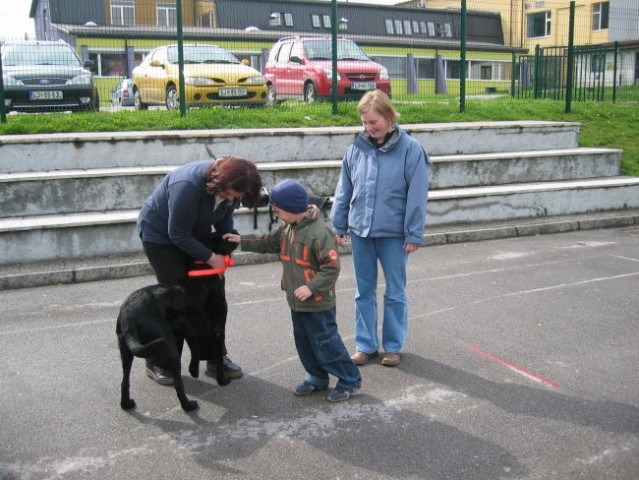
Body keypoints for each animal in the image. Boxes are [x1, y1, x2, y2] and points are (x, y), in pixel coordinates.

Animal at [117, 231, 238, 410]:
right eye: (222, 237)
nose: (235, 231)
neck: (203, 272)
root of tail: (127, 315)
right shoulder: (218, 329)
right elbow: (217, 355)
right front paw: (222, 380)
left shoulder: (190, 329)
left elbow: (195, 348)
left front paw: (194, 370)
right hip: (169, 347)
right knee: (178, 384)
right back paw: (188, 405)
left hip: (126, 351)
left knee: (124, 381)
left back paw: (127, 403)